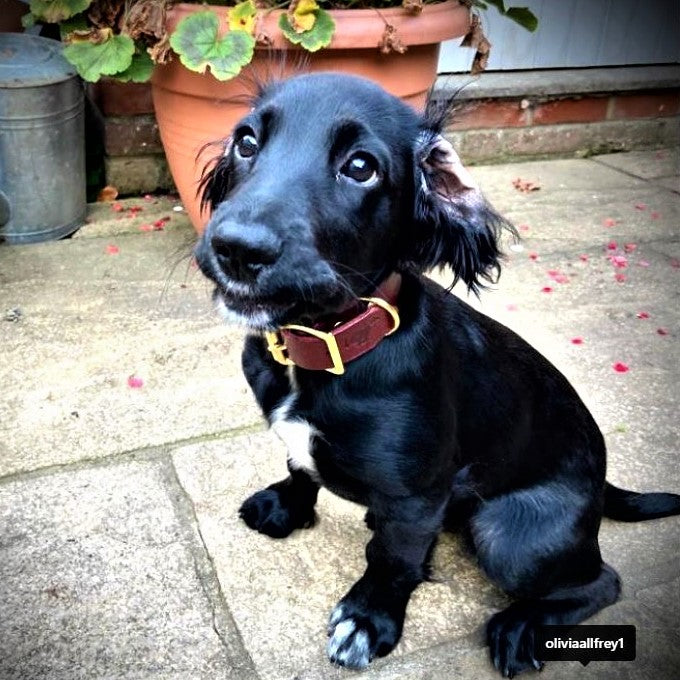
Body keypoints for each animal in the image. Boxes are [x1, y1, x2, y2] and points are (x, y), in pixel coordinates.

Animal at [194, 71, 676, 676]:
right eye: (246, 141)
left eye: (360, 166)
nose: (236, 249)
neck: (326, 348)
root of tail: (600, 481)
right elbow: (300, 466)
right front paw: (286, 504)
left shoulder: (415, 498)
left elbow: (393, 561)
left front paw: (368, 621)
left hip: (509, 537)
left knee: (602, 581)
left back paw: (521, 626)